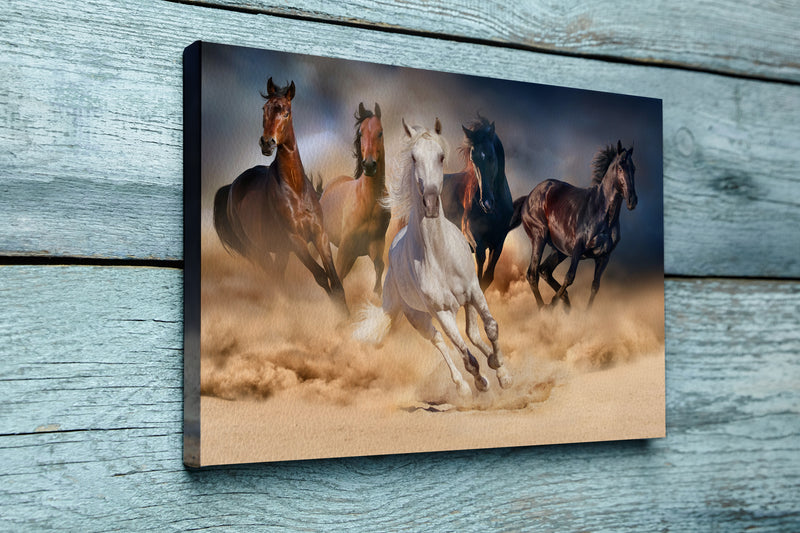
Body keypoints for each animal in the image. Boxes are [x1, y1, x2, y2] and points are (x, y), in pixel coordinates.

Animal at [212, 78, 346, 312]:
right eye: (264, 109)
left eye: (286, 112)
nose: (267, 142)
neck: (296, 190)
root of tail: (232, 187)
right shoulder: (295, 240)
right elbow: (321, 276)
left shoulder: (319, 235)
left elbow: (335, 280)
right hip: (256, 250)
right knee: (273, 278)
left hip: (280, 251)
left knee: (278, 275)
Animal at [320, 103, 392, 296]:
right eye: (360, 133)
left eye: (380, 132)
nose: (369, 164)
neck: (368, 201)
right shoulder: (346, 248)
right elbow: (337, 278)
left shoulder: (375, 245)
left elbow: (379, 268)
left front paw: (377, 295)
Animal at [440, 117, 516, 290]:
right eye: (473, 159)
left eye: (491, 156)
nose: (486, 202)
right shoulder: (471, 233)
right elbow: (480, 261)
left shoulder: (499, 242)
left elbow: (488, 276)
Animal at [510, 141, 640, 310]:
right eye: (619, 168)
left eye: (634, 168)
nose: (632, 201)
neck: (604, 216)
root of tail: (528, 197)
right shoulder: (578, 249)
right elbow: (569, 277)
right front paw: (552, 304)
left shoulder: (604, 257)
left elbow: (595, 286)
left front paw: (584, 314)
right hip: (539, 237)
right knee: (532, 274)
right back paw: (544, 308)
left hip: (560, 250)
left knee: (544, 270)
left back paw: (565, 303)